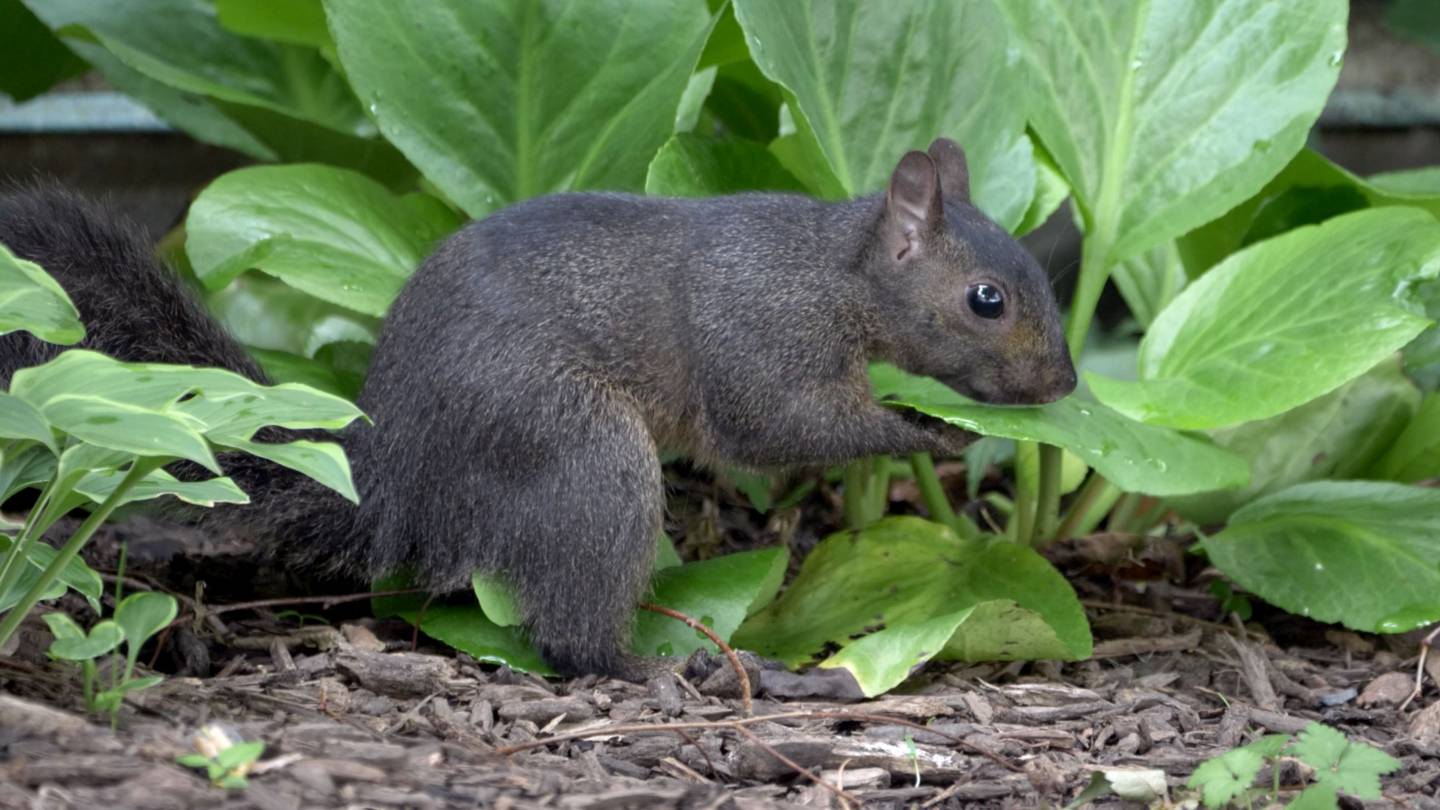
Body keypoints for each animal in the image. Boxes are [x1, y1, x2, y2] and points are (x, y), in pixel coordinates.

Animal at [0, 139, 1076, 679]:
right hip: (580, 452)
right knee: (567, 638)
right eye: (988, 298)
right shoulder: (757, 337)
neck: (833, 275)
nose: (1065, 386)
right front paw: (925, 430)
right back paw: (650, 667)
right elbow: (778, 427)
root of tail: (396, 487)